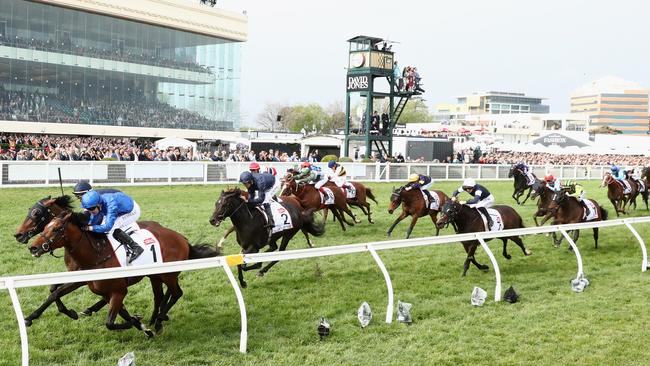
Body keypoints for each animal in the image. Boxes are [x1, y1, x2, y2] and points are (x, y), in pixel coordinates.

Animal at [30, 210, 219, 336]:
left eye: (56, 229)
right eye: (45, 226)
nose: (33, 247)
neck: (97, 255)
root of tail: (183, 239)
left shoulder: (119, 291)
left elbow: (110, 323)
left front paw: (138, 322)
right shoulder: (96, 287)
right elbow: (54, 292)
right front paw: (31, 317)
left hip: (169, 274)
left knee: (176, 293)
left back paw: (159, 320)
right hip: (156, 276)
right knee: (160, 295)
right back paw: (155, 319)